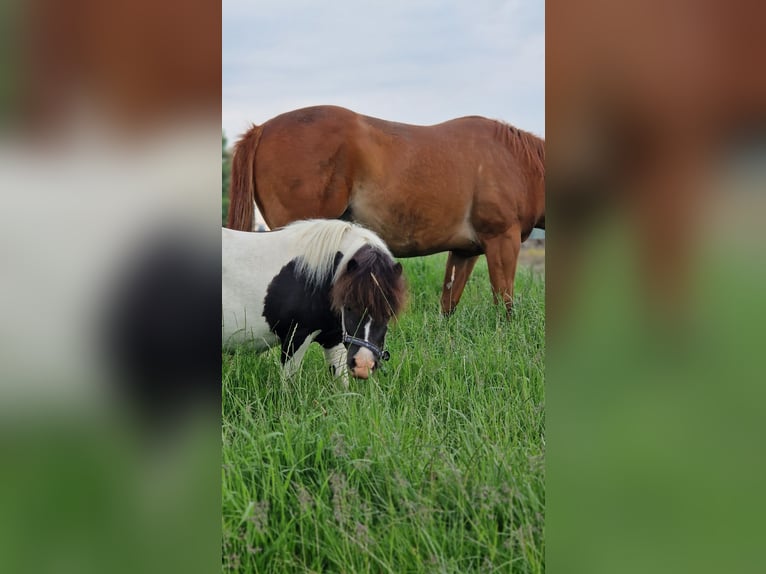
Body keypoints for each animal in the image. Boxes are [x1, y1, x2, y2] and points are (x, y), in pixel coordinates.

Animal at [228, 106, 544, 318]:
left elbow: (448, 303)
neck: (517, 162)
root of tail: (262, 129)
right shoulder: (502, 241)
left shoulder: (464, 252)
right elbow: (505, 302)